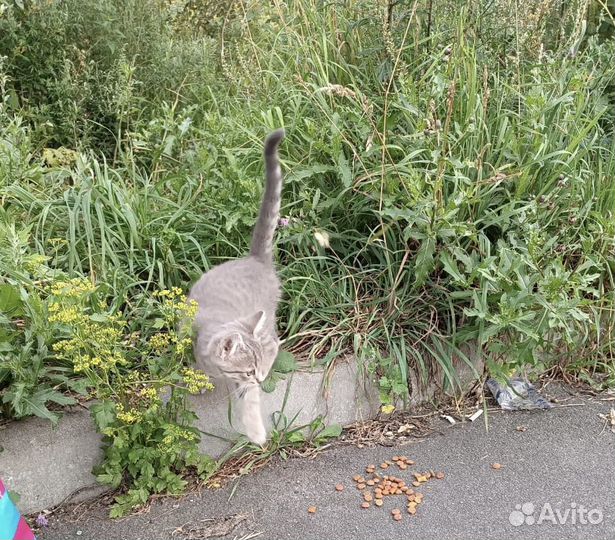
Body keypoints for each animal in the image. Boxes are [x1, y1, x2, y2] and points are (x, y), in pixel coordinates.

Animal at [188, 129, 286, 446]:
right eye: (248, 369)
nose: (260, 377)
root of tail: (255, 259)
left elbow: (250, 399)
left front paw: (255, 431)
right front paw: (200, 381)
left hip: (266, 321)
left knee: (274, 342)